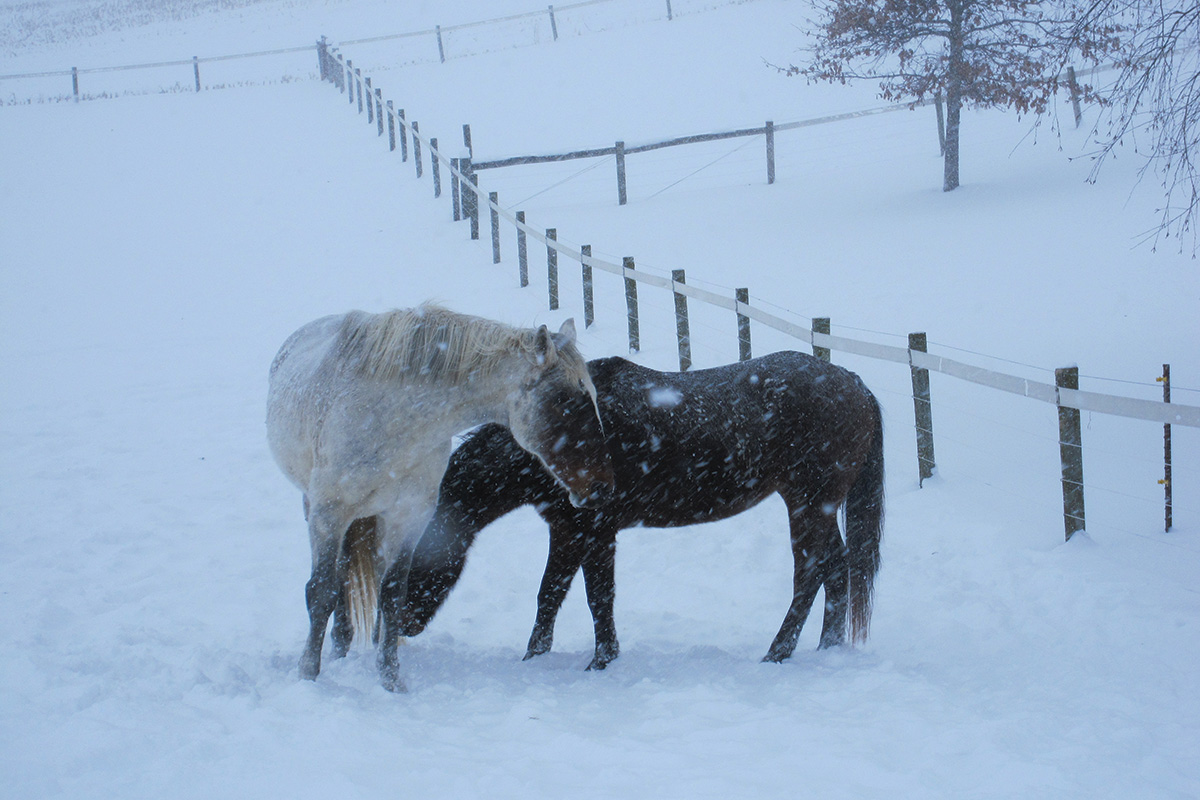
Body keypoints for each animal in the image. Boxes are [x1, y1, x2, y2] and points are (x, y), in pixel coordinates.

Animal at [266, 303, 614, 690]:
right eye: (564, 401)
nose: (603, 486)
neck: (393, 422)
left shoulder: (409, 516)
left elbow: (391, 595)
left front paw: (391, 680)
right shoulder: (329, 514)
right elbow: (321, 591)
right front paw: (307, 675)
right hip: (317, 508)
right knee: (339, 579)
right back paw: (338, 649)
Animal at [403, 352, 883, 671]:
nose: (402, 626)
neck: (565, 445)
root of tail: (854, 384)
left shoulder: (595, 530)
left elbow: (598, 596)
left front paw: (601, 661)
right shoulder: (568, 530)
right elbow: (550, 594)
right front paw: (533, 658)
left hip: (808, 504)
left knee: (809, 574)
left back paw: (778, 652)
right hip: (817, 507)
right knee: (836, 567)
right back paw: (827, 648)